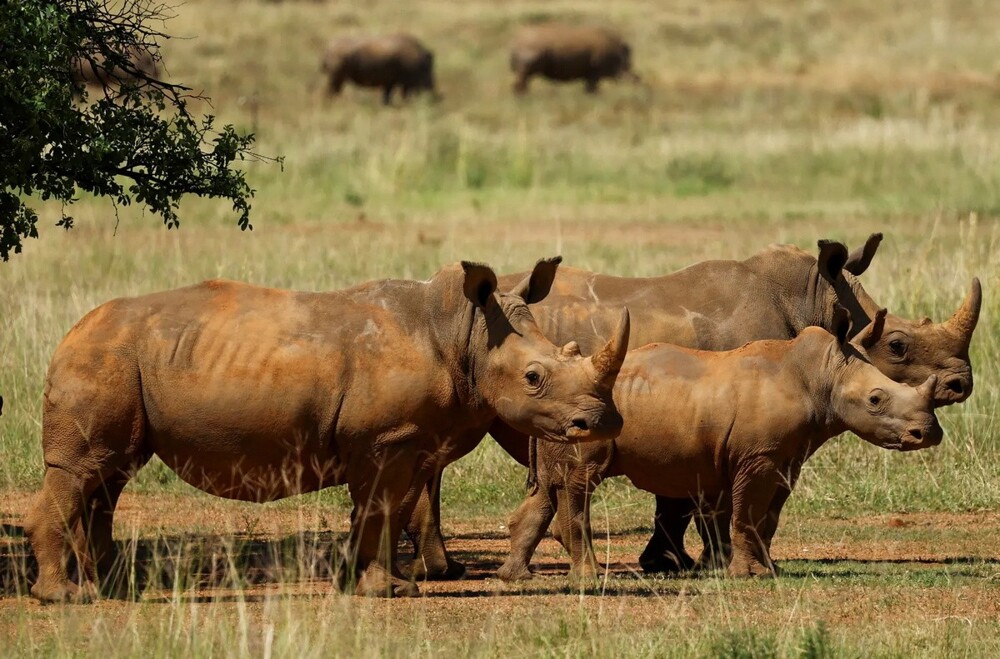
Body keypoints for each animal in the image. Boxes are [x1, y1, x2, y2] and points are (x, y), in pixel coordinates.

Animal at [25, 258, 632, 604]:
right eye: (534, 377)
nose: (601, 422)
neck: (463, 334)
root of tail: (70, 331)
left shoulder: (406, 442)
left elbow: (386, 514)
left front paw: (385, 586)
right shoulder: (385, 441)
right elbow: (378, 512)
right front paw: (379, 590)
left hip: (120, 361)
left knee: (109, 477)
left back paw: (113, 589)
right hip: (103, 359)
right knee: (83, 471)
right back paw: (66, 599)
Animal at [500, 312, 944, 580]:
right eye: (875, 399)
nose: (927, 434)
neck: (823, 376)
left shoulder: (785, 457)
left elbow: (768, 518)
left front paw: (769, 570)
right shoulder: (758, 457)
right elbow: (748, 512)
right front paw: (751, 576)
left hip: (559, 420)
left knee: (549, 488)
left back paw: (517, 576)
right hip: (581, 418)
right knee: (580, 484)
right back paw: (591, 576)